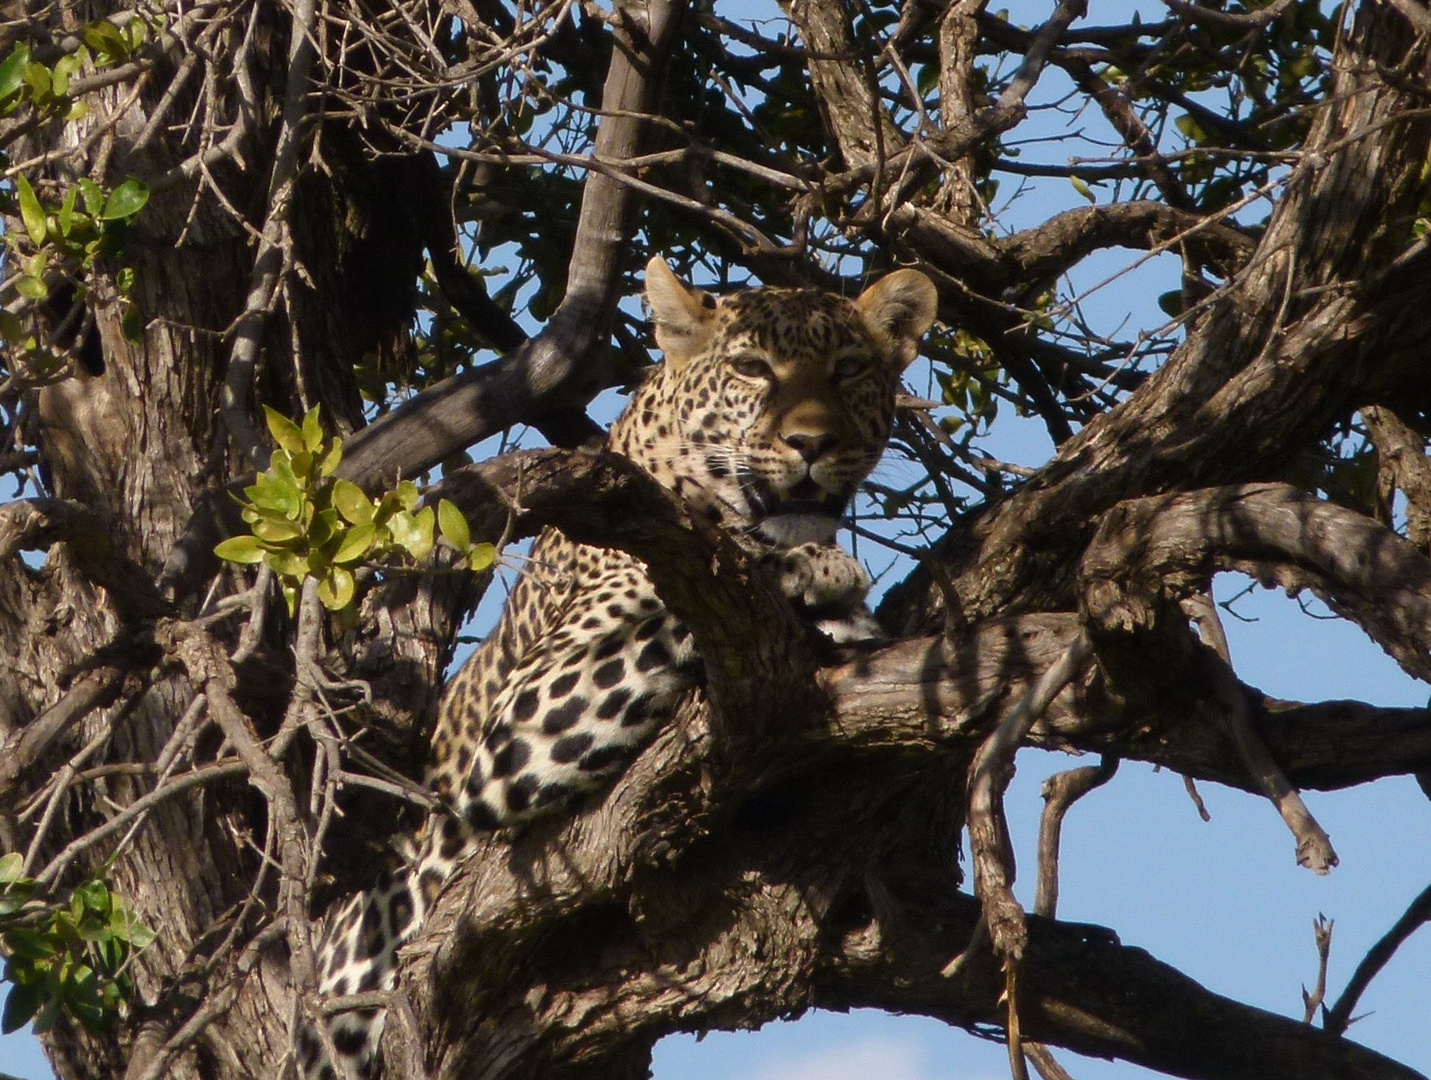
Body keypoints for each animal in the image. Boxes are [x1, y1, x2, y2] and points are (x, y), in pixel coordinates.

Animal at [301, 260, 938, 1080]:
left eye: (850, 370)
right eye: (752, 369)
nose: (811, 442)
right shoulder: (521, 721)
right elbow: (703, 593)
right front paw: (816, 572)